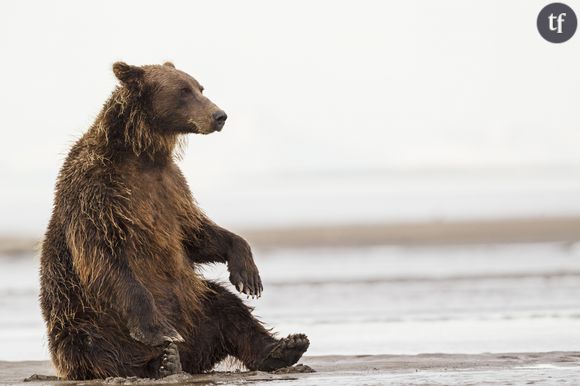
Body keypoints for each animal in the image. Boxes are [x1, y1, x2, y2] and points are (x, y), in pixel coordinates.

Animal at [38, 61, 310, 380]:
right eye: (183, 91)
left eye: (199, 87)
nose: (219, 115)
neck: (141, 155)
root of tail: (192, 353)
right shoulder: (97, 193)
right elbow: (104, 256)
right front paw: (158, 330)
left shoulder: (172, 189)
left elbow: (195, 234)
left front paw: (248, 275)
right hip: (82, 316)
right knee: (94, 347)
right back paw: (160, 362)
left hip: (197, 308)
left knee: (229, 308)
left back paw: (284, 346)